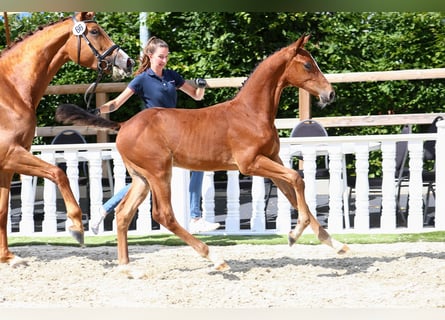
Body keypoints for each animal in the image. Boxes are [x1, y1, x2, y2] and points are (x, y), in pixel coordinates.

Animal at [0, 11, 134, 264]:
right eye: (94, 32)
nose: (127, 62)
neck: (10, 91)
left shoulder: (7, 163)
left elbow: (2, 210)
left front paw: (7, 257)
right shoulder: (10, 154)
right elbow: (58, 173)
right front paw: (76, 227)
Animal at [56, 34, 346, 270]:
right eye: (307, 65)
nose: (330, 94)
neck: (251, 113)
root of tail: (124, 124)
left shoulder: (271, 160)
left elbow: (294, 193)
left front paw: (335, 244)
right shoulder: (250, 163)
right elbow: (297, 180)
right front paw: (295, 234)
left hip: (141, 178)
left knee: (124, 214)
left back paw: (127, 267)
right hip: (159, 173)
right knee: (163, 215)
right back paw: (215, 258)